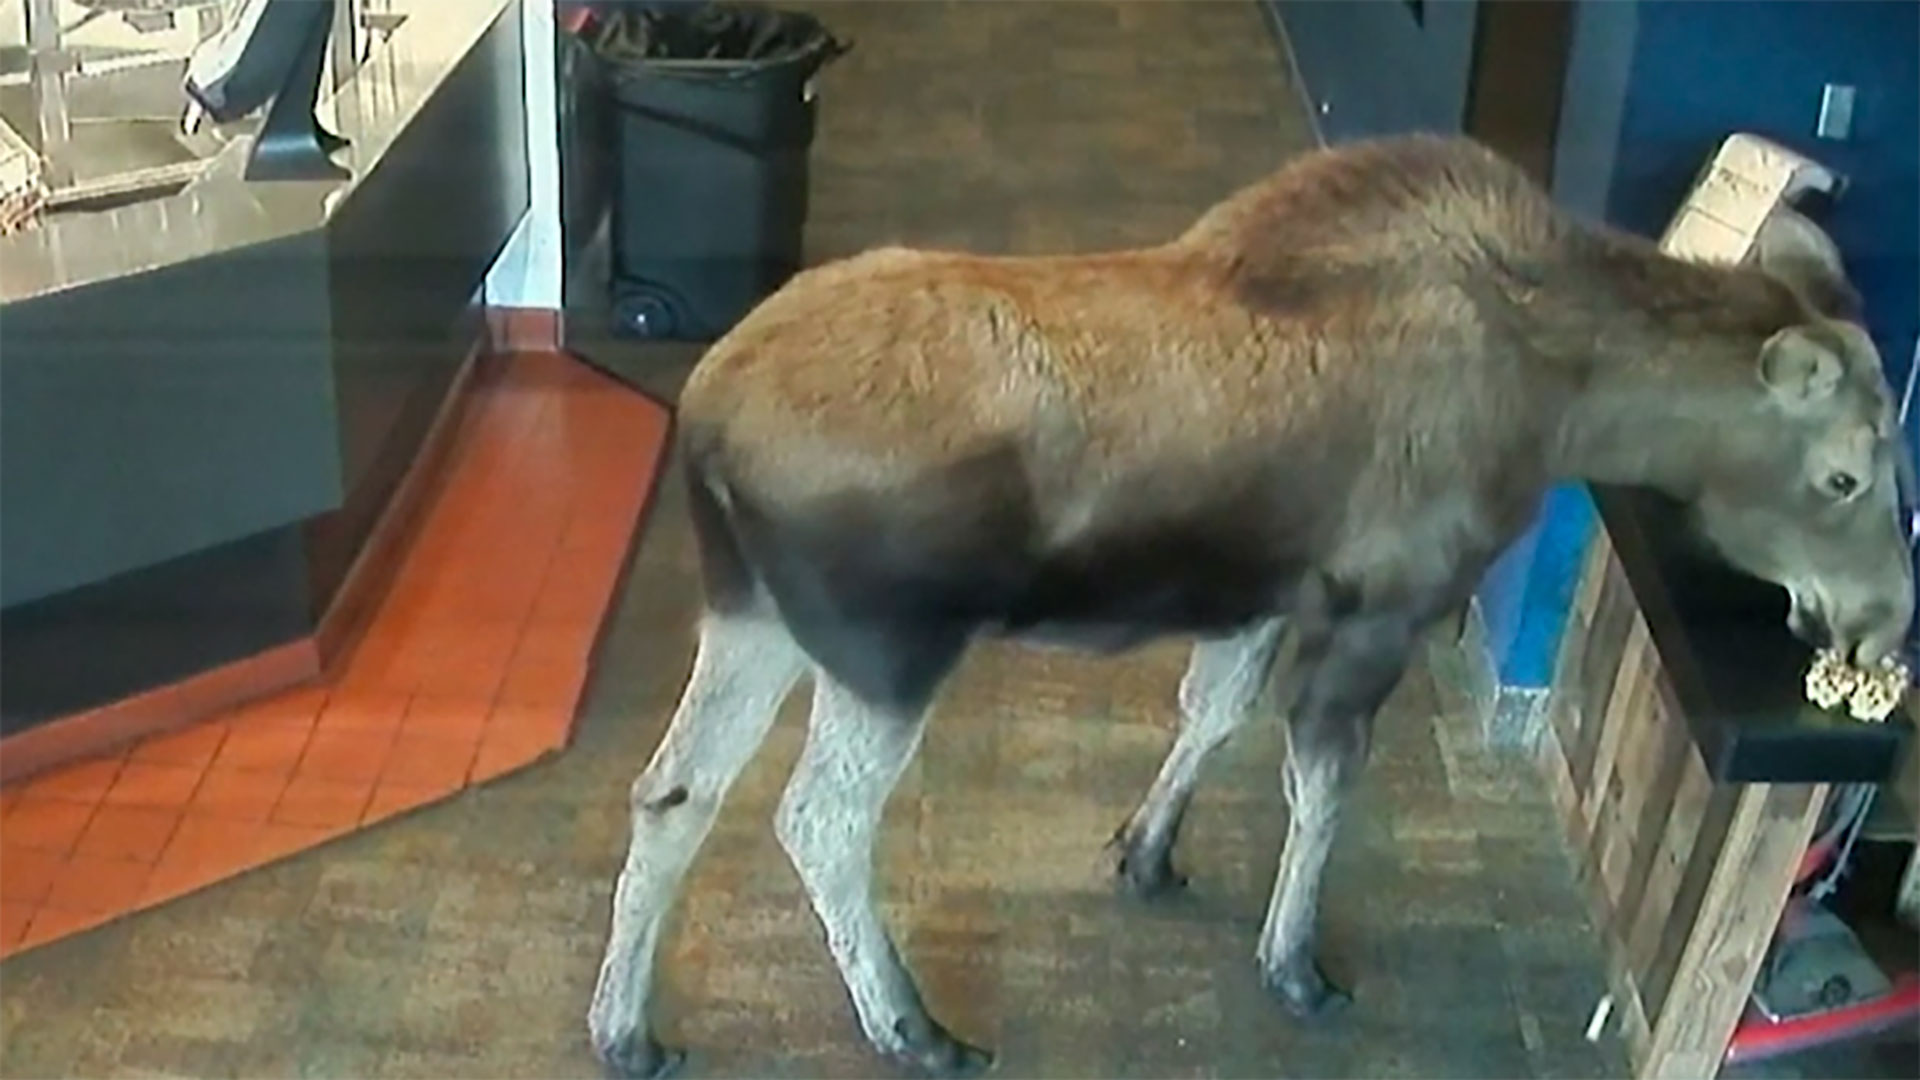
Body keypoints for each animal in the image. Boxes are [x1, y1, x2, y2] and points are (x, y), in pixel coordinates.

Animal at [585, 134, 1915, 1078]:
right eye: (1849, 473)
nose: (1882, 619)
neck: (1566, 401)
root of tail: (704, 420)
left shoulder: (1269, 591)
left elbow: (1210, 710)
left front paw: (1148, 848)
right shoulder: (1382, 603)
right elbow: (1318, 786)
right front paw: (1295, 965)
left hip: (751, 611)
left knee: (671, 791)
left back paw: (627, 1030)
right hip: (887, 645)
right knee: (817, 818)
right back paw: (912, 1027)